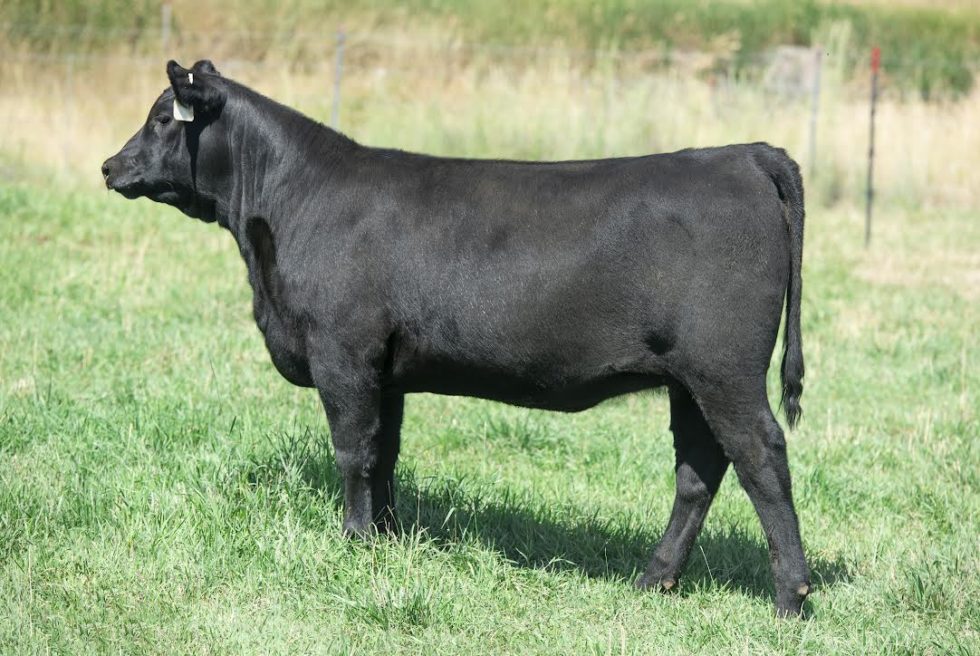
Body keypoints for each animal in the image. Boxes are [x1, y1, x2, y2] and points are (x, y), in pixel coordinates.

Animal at [102, 60, 810, 616]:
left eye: (163, 118)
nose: (110, 166)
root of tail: (744, 152)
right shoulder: (385, 369)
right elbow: (384, 453)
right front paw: (386, 537)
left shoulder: (342, 354)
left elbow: (353, 453)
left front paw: (353, 541)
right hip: (688, 379)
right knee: (700, 470)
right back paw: (654, 580)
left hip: (724, 371)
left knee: (761, 457)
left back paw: (791, 597)